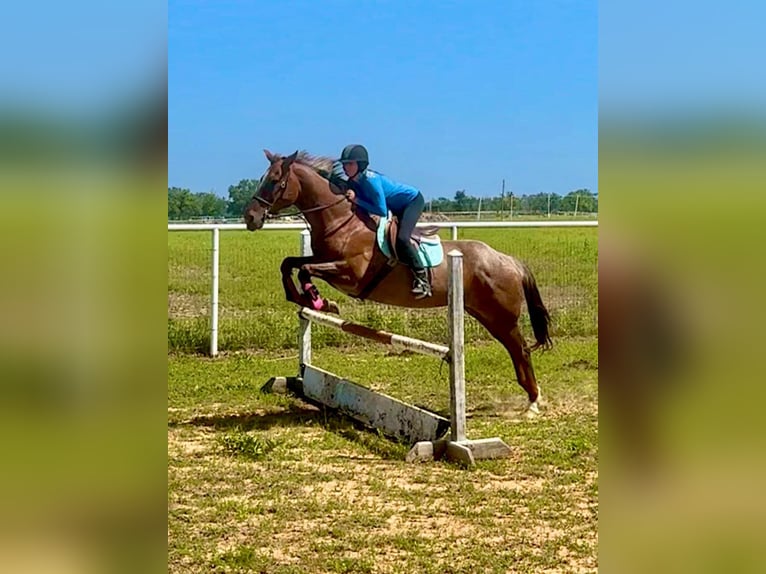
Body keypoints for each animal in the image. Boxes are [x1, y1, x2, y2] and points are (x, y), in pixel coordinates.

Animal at [244, 149, 553, 415]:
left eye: (275, 181)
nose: (250, 217)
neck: (343, 222)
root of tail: (509, 260)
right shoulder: (321, 258)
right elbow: (289, 264)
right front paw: (305, 299)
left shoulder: (350, 275)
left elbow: (306, 270)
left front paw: (320, 300)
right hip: (486, 314)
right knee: (516, 349)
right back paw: (530, 396)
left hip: (501, 316)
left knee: (521, 349)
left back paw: (533, 402)